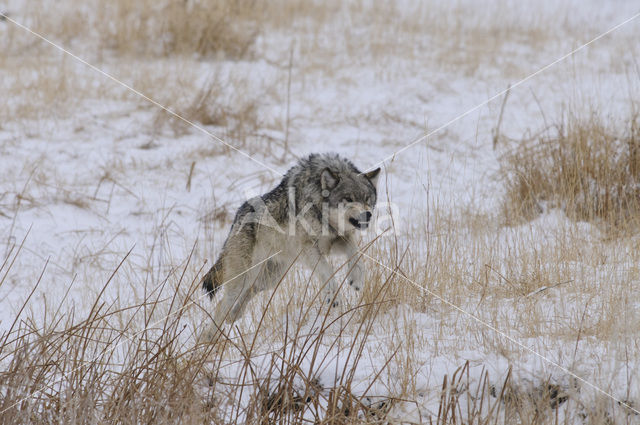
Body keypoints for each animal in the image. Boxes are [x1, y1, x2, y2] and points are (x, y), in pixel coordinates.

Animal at [200, 152, 380, 342]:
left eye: (367, 199)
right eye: (349, 199)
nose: (368, 214)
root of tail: (236, 219)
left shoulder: (338, 239)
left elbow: (356, 253)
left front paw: (357, 278)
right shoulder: (309, 248)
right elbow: (327, 271)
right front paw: (332, 295)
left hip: (268, 279)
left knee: (248, 293)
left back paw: (233, 316)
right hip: (243, 278)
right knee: (222, 304)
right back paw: (207, 337)